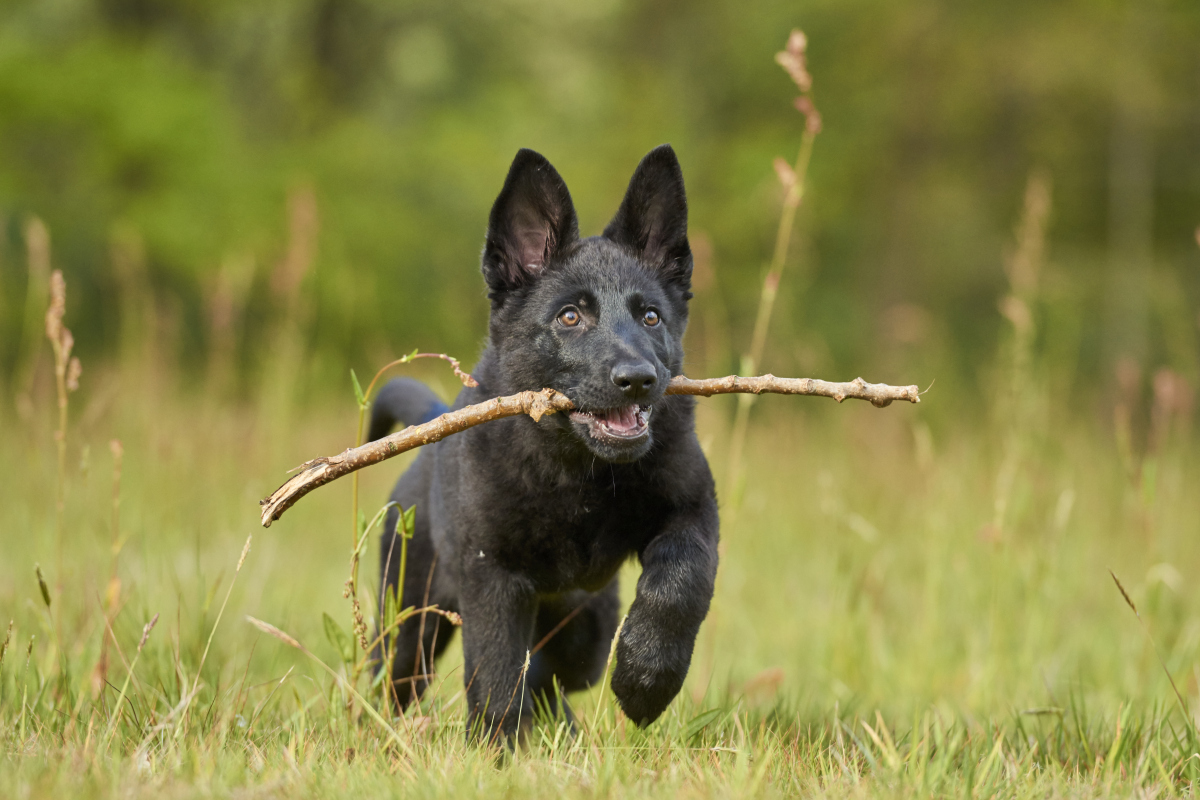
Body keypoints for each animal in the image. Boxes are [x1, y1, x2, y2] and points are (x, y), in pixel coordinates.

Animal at [369, 145, 715, 743]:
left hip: (586, 621)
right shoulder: (493, 573)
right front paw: (497, 747)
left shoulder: (694, 508)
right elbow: (496, 667)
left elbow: (680, 581)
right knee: (391, 670)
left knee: (559, 670)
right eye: (569, 316)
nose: (639, 379)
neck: (581, 476)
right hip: (411, 613)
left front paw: (647, 678)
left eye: (651, 316)